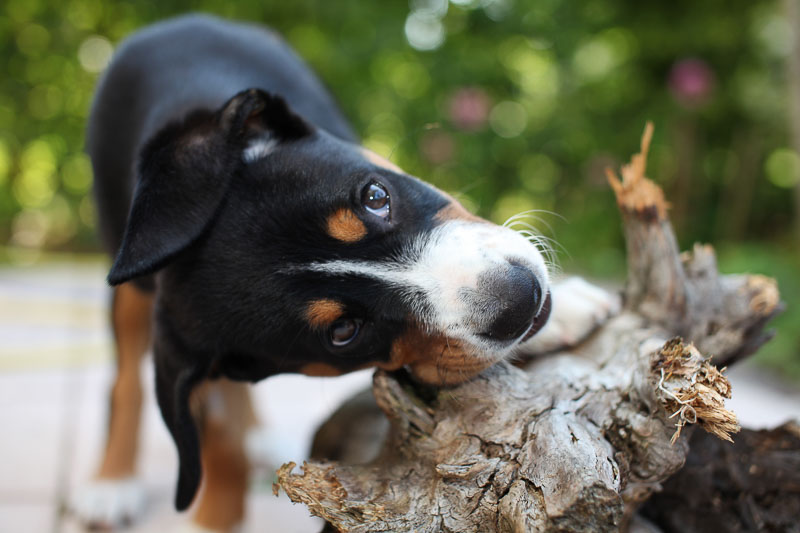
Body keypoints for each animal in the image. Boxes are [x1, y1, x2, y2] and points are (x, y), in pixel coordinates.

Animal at [70, 14, 620, 528]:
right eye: (343, 332)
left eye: (375, 196)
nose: (521, 299)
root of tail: (172, 23)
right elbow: (212, 433)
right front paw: (215, 514)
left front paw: (568, 309)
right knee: (128, 378)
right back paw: (111, 481)